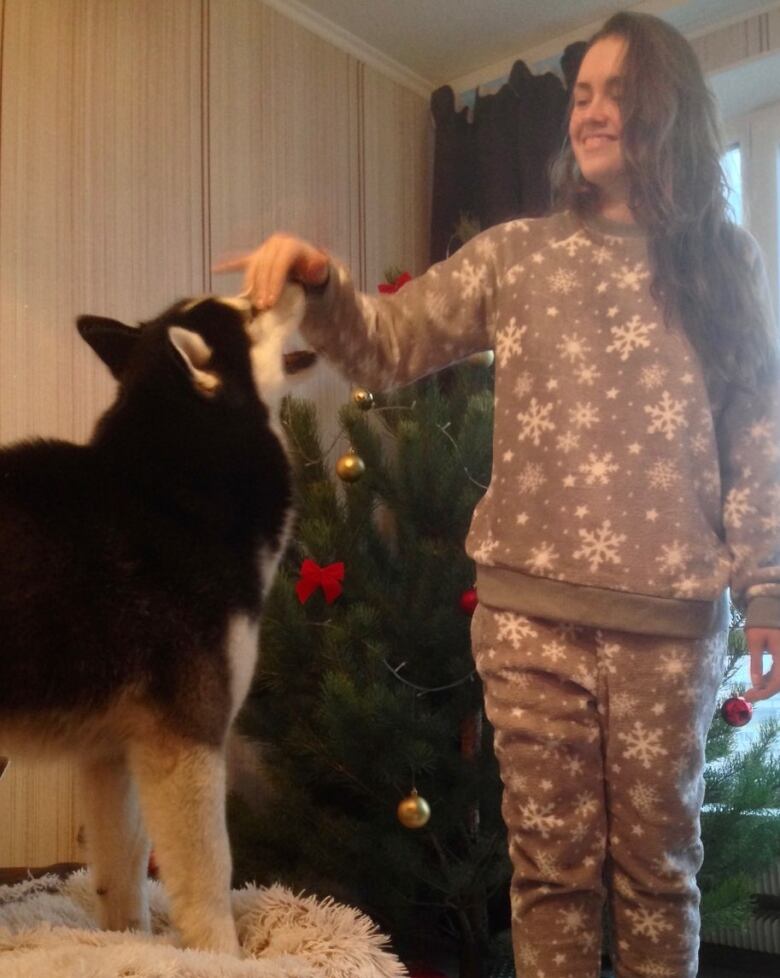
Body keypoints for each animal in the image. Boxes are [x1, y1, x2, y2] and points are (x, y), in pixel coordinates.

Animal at [0, 284, 314, 952]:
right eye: (249, 308)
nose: (307, 278)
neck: (175, 492)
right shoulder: (187, 737)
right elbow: (209, 869)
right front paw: (221, 953)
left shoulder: (112, 754)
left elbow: (123, 867)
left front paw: (127, 943)